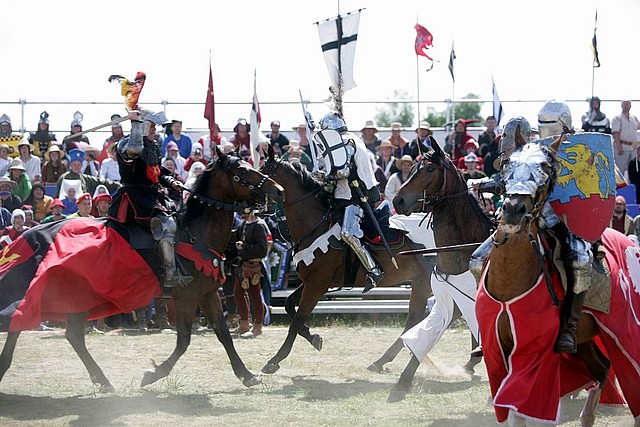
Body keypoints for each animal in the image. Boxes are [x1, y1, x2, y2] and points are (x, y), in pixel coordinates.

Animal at [0, 151, 284, 394]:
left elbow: (223, 334)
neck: (195, 235)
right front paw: (153, 374)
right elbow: (184, 340)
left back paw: (103, 381)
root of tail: (32, 234)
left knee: (68, 335)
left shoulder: (208, 293)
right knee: (28, 322)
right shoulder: (186, 297)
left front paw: (247, 375)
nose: (277, 190)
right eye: (241, 171)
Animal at [260, 145, 436, 390]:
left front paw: (275, 361)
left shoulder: (317, 285)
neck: (316, 223)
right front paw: (315, 338)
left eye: (263, 173)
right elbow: (288, 307)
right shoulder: (313, 283)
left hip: (425, 283)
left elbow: (296, 321)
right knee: (415, 319)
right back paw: (381, 361)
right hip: (420, 282)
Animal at [390, 140, 496, 402]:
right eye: (413, 167)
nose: (398, 201)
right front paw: (404, 378)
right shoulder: (446, 301)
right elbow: (427, 331)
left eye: (430, 169)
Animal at [478, 135, 636, 426]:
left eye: (546, 168)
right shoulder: (498, 353)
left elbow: (522, 406)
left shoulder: (533, 357)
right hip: (584, 340)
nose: (513, 210)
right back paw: (587, 417)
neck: (508, 284)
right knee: (602, 368)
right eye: (507, 163)